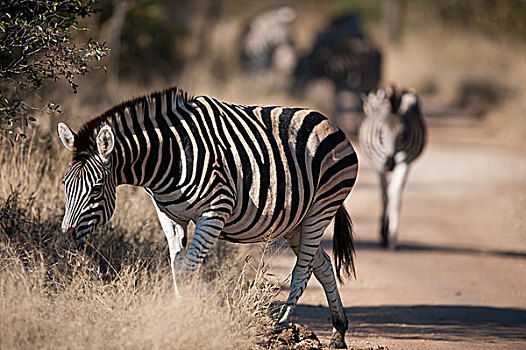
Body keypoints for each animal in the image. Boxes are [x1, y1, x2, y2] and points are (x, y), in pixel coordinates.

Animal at [58, 85, 364, 348]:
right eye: (64, 184)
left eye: (96, 188)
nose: (66, 238)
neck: (170, 155)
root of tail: (328, 121)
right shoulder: (169, 215)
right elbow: (177, 266)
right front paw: (183, 311)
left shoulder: (216, 210)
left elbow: (189, 267)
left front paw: (191, 308)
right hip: (295, 222)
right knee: (321, 264)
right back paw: (338, 333)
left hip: (322, 206)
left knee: (303, 269)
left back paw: (281, 325)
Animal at [360, 86, 432, 247]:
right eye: (380, 134)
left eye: (403, 135)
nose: (390, 162)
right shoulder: (382, 163)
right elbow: (386, 194)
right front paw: (386, 232)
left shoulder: (393, 163)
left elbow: (389, 194)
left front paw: (388, 233)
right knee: (389, 192)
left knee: (391, 191)